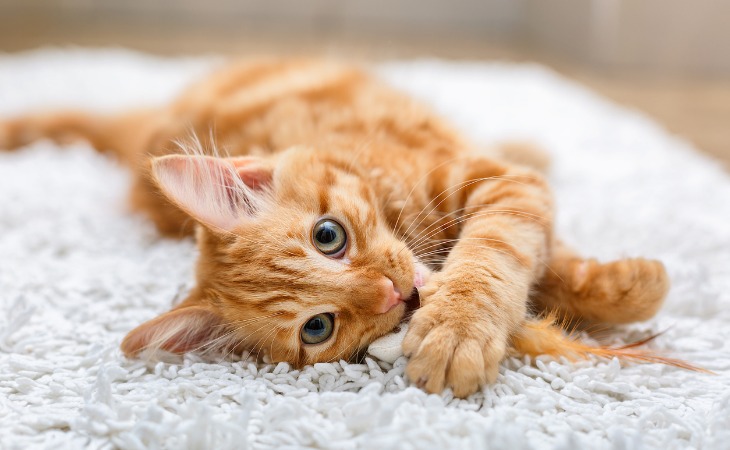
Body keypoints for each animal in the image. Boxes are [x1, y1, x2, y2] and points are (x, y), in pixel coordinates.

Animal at [0, 57, 668, 398]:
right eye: (318, 328)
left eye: (329, 236)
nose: (394, 295)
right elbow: (536, 260)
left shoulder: (494, 181)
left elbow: (500, 249)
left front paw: (458, 326)